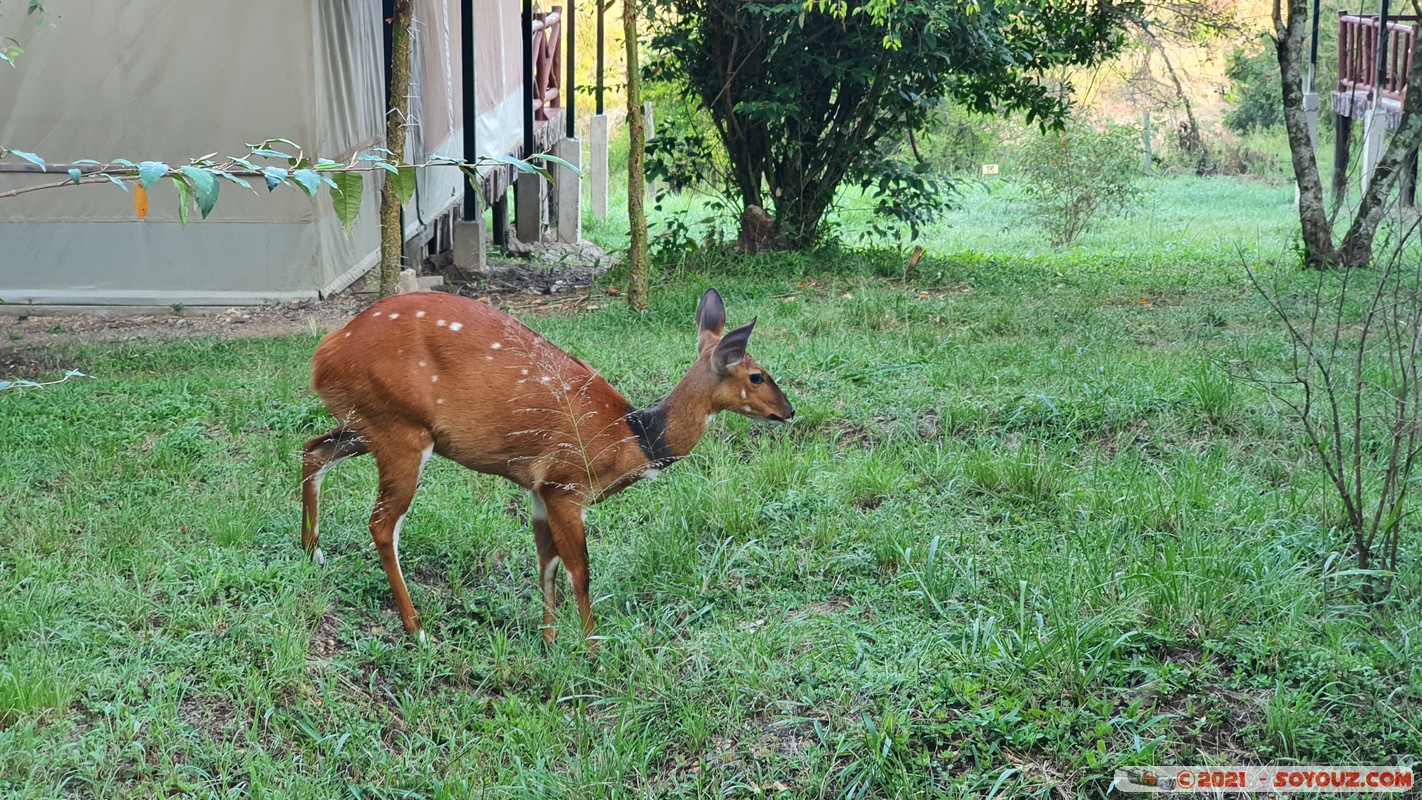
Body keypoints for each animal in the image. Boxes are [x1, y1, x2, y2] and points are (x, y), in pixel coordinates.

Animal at [300, 288, 796, 650]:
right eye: (757, 376)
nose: (789, 411)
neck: (636, 436)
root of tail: (324, 353)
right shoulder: (565, 486)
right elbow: (580, 569)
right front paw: (592, 648)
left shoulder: (537, 491)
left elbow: (547, 564)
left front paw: (550, 639)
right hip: (402, 433)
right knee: (382, 523)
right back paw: (417, 628)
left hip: (368, 426)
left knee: (312, 449)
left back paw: (312, 553)